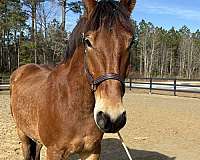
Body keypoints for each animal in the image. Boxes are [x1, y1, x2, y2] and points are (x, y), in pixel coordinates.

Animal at [10, 0, 136, 159]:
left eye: (131, 42)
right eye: (88, 42)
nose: (113, 118)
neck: (72, 104)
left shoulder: (92, 151)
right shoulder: (54, 152)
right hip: (22, 134)